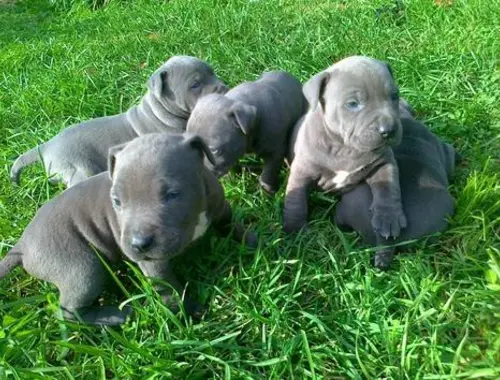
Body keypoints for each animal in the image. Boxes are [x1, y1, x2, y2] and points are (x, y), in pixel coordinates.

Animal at [0, 132, 256, 326]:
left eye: (173, 194)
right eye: (117, 201)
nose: (138, 244)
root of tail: (22, 245)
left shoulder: (220, 207)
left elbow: (232, 225)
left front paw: (255, 242)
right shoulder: (154, 262)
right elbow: (168, 288)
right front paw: (188, 312)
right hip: (82, 269)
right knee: (69, 311)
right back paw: (116, 316)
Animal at [10, 55, 228, 188]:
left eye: (213, 72)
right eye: (195, 84)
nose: (224, 87)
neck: (160, 111)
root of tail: (47, 146)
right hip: (78, 168)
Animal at [284, 55, 408, 242]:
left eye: (394, 96)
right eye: (353, 104)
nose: (389, 129)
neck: (345, 148)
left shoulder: (384, 162)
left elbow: (388, 187)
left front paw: (389, 218)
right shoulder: (302, 170)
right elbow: (295, 200)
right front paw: (295, 230)